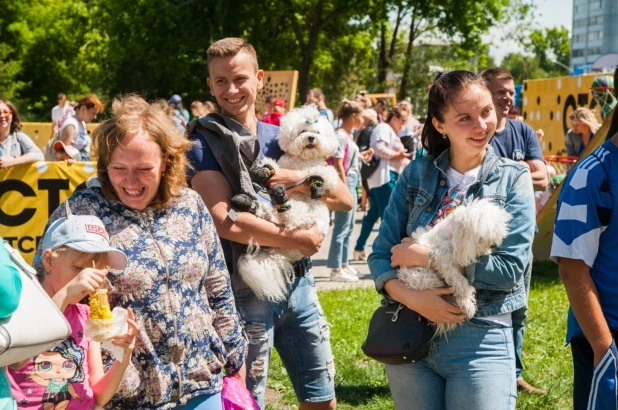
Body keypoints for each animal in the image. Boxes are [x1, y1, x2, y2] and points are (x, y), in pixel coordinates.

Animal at [237, 105, 342, 302]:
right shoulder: (284, 165)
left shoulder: (327, 173)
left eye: (317, 132)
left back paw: (277, 198)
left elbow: (323, 174)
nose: (311, 138)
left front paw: (317, 184)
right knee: (271, 214)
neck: (303, 161)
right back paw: (249, 203)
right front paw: (264, 170)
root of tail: (281, 254)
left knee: (289, 216)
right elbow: (274, 167)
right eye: (303, 131)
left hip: (307, 217)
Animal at [398, 199, 512, 336]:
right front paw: (467, 303)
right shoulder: (444, 261)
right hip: (419, 277)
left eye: (496, 233)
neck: (454, 236)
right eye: (482, 237)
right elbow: (460, 281)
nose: (494, 245)